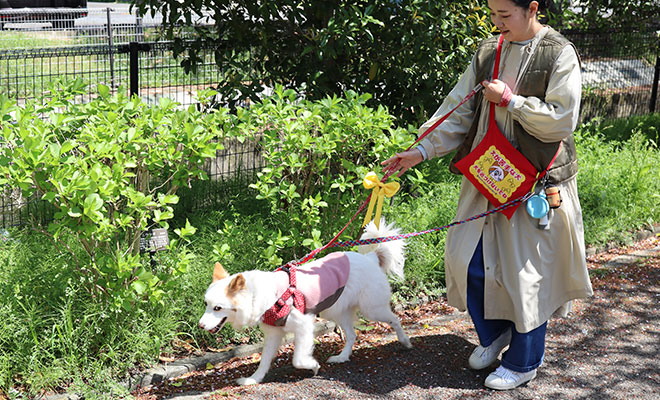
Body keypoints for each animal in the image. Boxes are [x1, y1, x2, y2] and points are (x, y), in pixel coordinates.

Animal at [196, 220, 412, 386]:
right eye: (206, 304)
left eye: (218, 308)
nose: (200, 325)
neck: (259, 294)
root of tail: (371, 258)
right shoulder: (274, 334)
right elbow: (264, 361)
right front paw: (253, 379)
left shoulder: (304, 325)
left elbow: (298, 359)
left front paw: (313, 366)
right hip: (337, 312)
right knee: (352, 335)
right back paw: (341, 357)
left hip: (372, 309)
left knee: (395, 319)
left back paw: (405, 341)